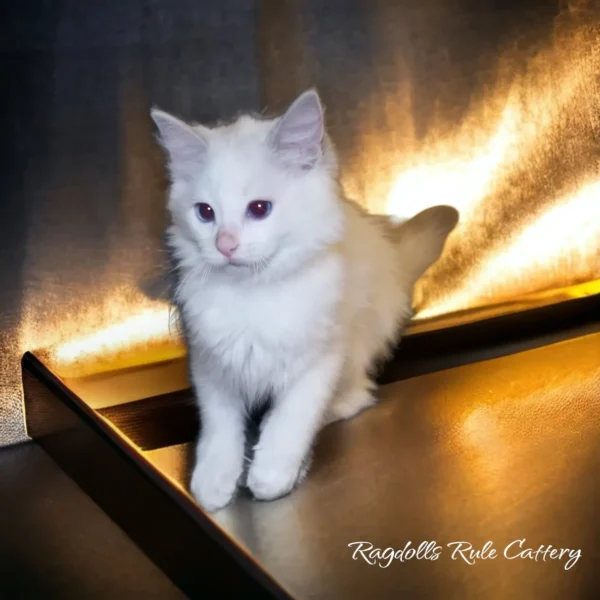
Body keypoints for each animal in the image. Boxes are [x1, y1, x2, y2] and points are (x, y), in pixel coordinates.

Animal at [151, 89, 460, 510]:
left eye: (259, 209)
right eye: (205, 213)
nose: (225, 245)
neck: (254, 294)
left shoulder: (319, 360)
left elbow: (290, 422)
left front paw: (271, 475)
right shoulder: (210, 362)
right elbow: (220, 426)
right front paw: (214, 482)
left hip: (358, 348)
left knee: (356, 397)